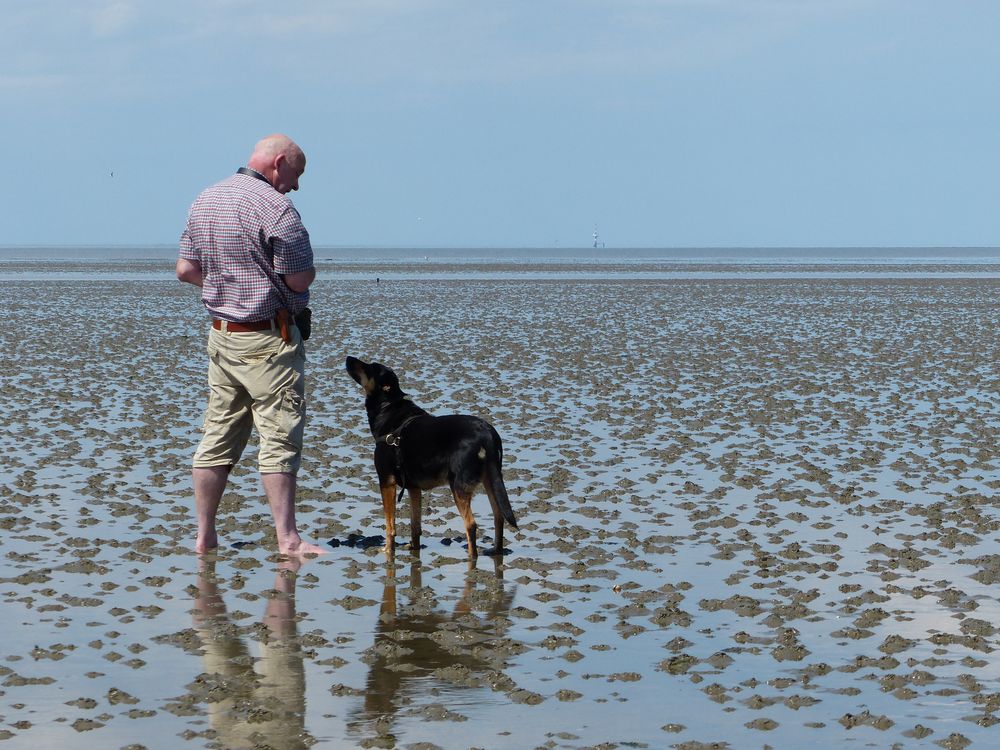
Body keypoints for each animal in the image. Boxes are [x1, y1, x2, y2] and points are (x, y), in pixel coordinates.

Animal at [346, 358, 516, 560]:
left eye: (369, 367)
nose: (348, 358)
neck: (388, 407)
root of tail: (487, 434)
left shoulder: (386, 481)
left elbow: (390, 525)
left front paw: (388, 550)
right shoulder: (413, 487)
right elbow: (415, 525)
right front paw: (413, 548)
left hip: (458, 486)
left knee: (471, 525)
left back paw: (471, 558)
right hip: (491, 479)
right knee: (499, 516)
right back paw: (495, 551)